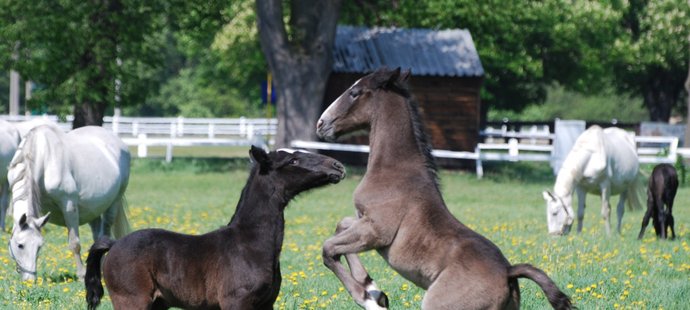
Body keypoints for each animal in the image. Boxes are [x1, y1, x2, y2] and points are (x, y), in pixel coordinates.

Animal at [7, 124, 130, 280]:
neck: (43, 157)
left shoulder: (69, 206)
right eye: (20, 245)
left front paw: (81, 275)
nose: (29, 280)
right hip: (94, 210)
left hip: (113, 204)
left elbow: (74, 243)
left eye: (39, 246)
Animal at [84, 147, 344, 310]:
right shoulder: (236, 302)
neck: (249, 245)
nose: (337, 166)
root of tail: (114, 244)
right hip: (132, 301)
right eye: (293, 161)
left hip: (158, 304)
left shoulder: (266, 304)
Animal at [316, 68, 568, 310]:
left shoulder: (376, 232)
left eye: (354, 93)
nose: (321, 124)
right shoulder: (362, 221)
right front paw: (372, 287)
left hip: (437, 304)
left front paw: (369, 297)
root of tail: (509, 271)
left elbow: (328, 249)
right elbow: (341, 225)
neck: (393, 170)